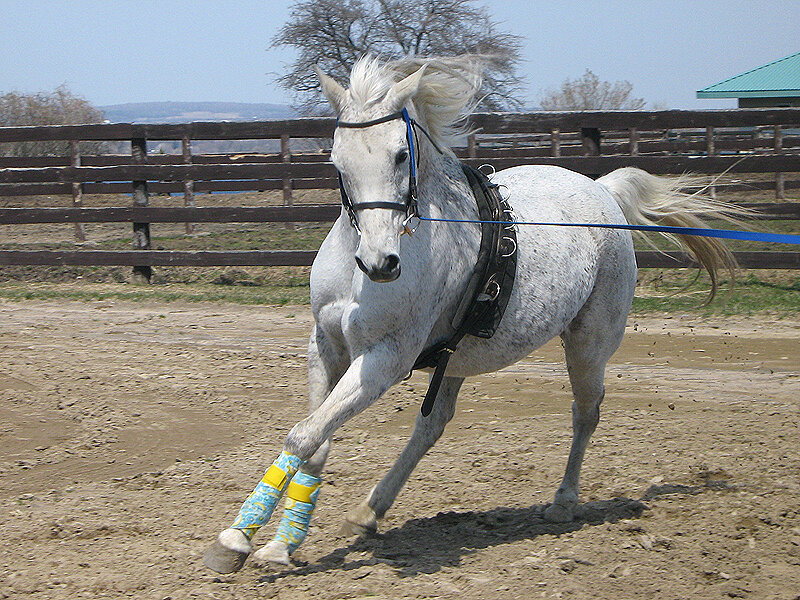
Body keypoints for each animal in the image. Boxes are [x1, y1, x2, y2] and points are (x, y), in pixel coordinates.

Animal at [203, 55, 739, 574]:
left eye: (401, 154)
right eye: (338, 160)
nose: (380, 263)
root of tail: (602, 191)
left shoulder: (384, 359)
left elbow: (305, 435)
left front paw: (234, 541)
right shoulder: (326, 345)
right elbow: (316, 441)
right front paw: (279, 544)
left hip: (588, 344)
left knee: (586, 412)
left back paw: (563, 503)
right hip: (457, 357)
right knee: (433, 426)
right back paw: (368, 512)